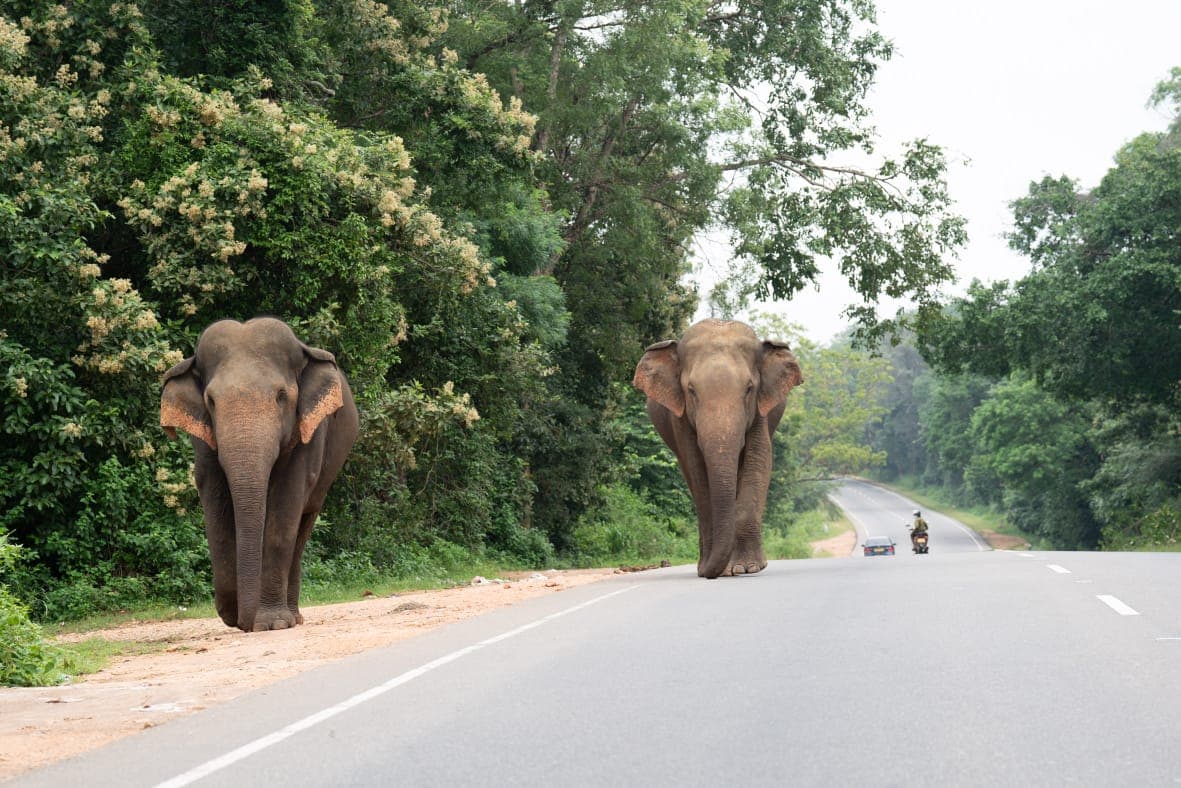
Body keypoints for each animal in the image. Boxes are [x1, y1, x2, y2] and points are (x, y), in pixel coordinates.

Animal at [160, 317, 359, 631]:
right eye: (211, 401)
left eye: (281, 396)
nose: (244, 622)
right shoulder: (204, 439)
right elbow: (214, 497)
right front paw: (234, 613)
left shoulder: (308, 435)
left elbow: (285, 505)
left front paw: (271, 624)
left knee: (302, 529)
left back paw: (293, 618)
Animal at [633, 319, 803, 578]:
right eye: (691, 390)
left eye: (749, 388)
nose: (707, 572)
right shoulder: (679, 417)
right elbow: (696, 467)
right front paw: (719, 569)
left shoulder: (761, 412)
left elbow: (759, 461)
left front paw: (747, 567)